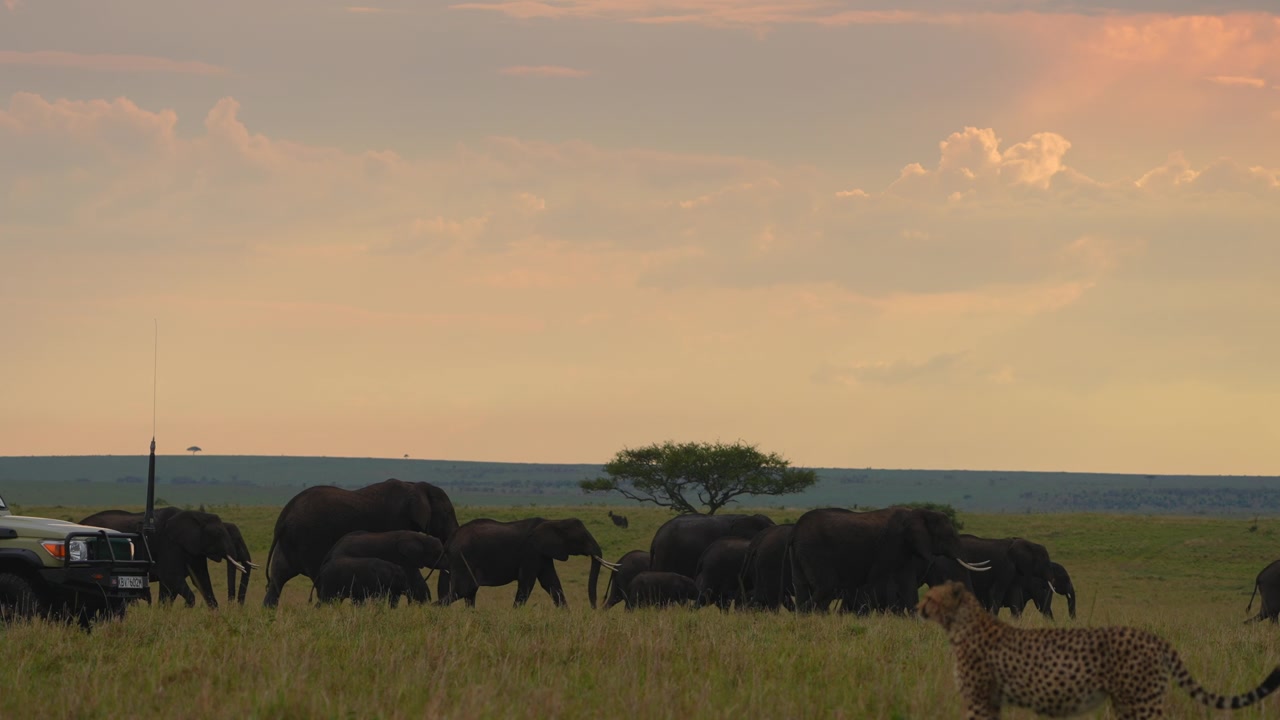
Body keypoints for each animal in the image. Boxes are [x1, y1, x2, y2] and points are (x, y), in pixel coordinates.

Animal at [80, 507, 248, 609]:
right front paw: (186, 609)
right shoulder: (169, 545)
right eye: (218, 534)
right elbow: (171, 578)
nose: (233, 605)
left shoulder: (194, 549)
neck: (196, 515)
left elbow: (200, 580)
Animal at [441, 517, 614, 608]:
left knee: (467, 592)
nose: (594, 608)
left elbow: (552, 583)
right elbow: (527, 583)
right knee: (463, 590)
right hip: (462, 559)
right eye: (582, 539)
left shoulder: (543, 554)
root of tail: (450, 541)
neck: (553, 522)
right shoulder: (531, 553)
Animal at [789, 507, 989, 613]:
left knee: (802, 586)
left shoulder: (905, 549)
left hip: (800, 554)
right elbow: (887, 579)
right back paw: (806, 614)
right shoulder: (892, 545)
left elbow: (907, 583)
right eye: (948, 535)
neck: (918, 513)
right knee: (826, 586)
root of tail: (795, 529)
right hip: (815, 552)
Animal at [917, 581, 1280, 719]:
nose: (919, 608)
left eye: (931, 597)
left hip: (1140, 702)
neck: (962, 624)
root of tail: (1150, 636)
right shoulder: (990, 702)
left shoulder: (979, 700)